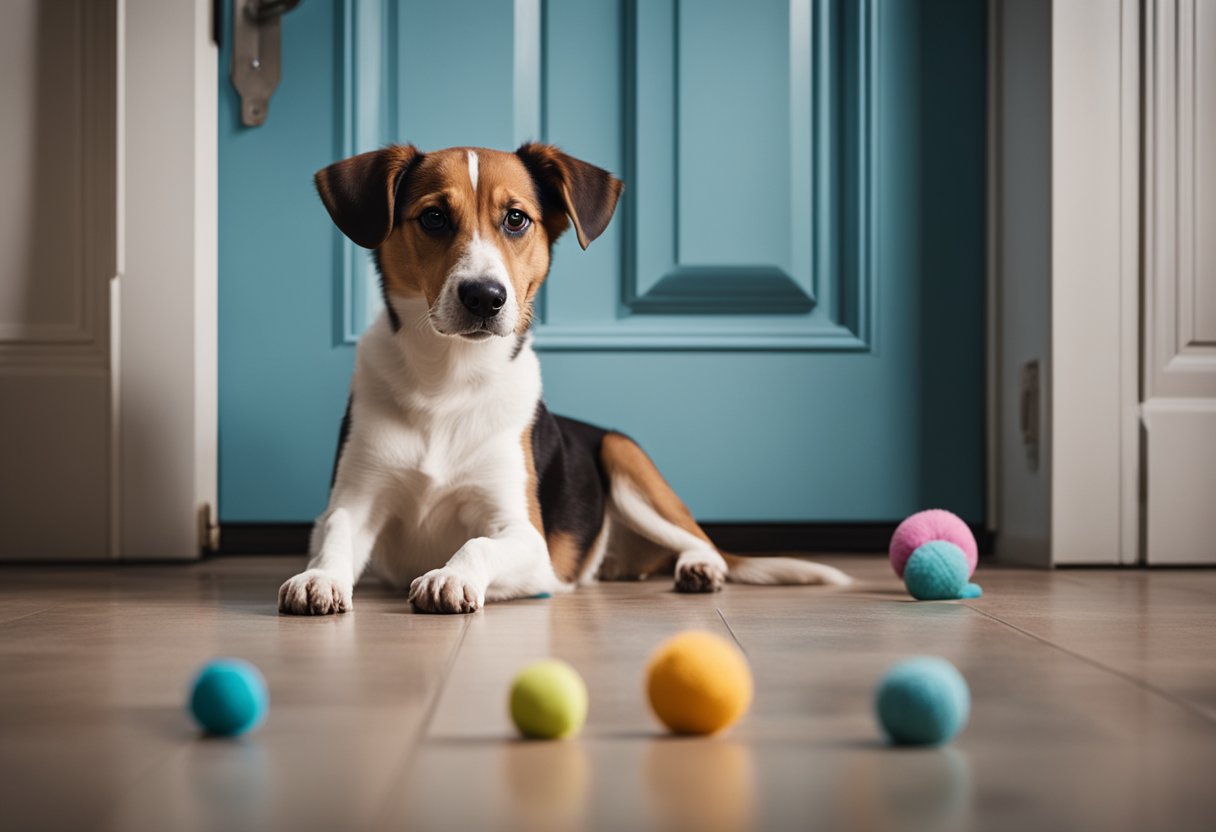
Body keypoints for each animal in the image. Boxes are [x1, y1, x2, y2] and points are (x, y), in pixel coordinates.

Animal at [277, 142, 851, 613]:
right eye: (434, 217)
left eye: (516, 219)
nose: (484, 296)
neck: (449, 379)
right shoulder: (354, 501)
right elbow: (335, 536)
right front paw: (319, 578)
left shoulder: (528, 540)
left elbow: (477, 543)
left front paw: (451, 576)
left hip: (623, 455)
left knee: (704, 541)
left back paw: (699, 567)